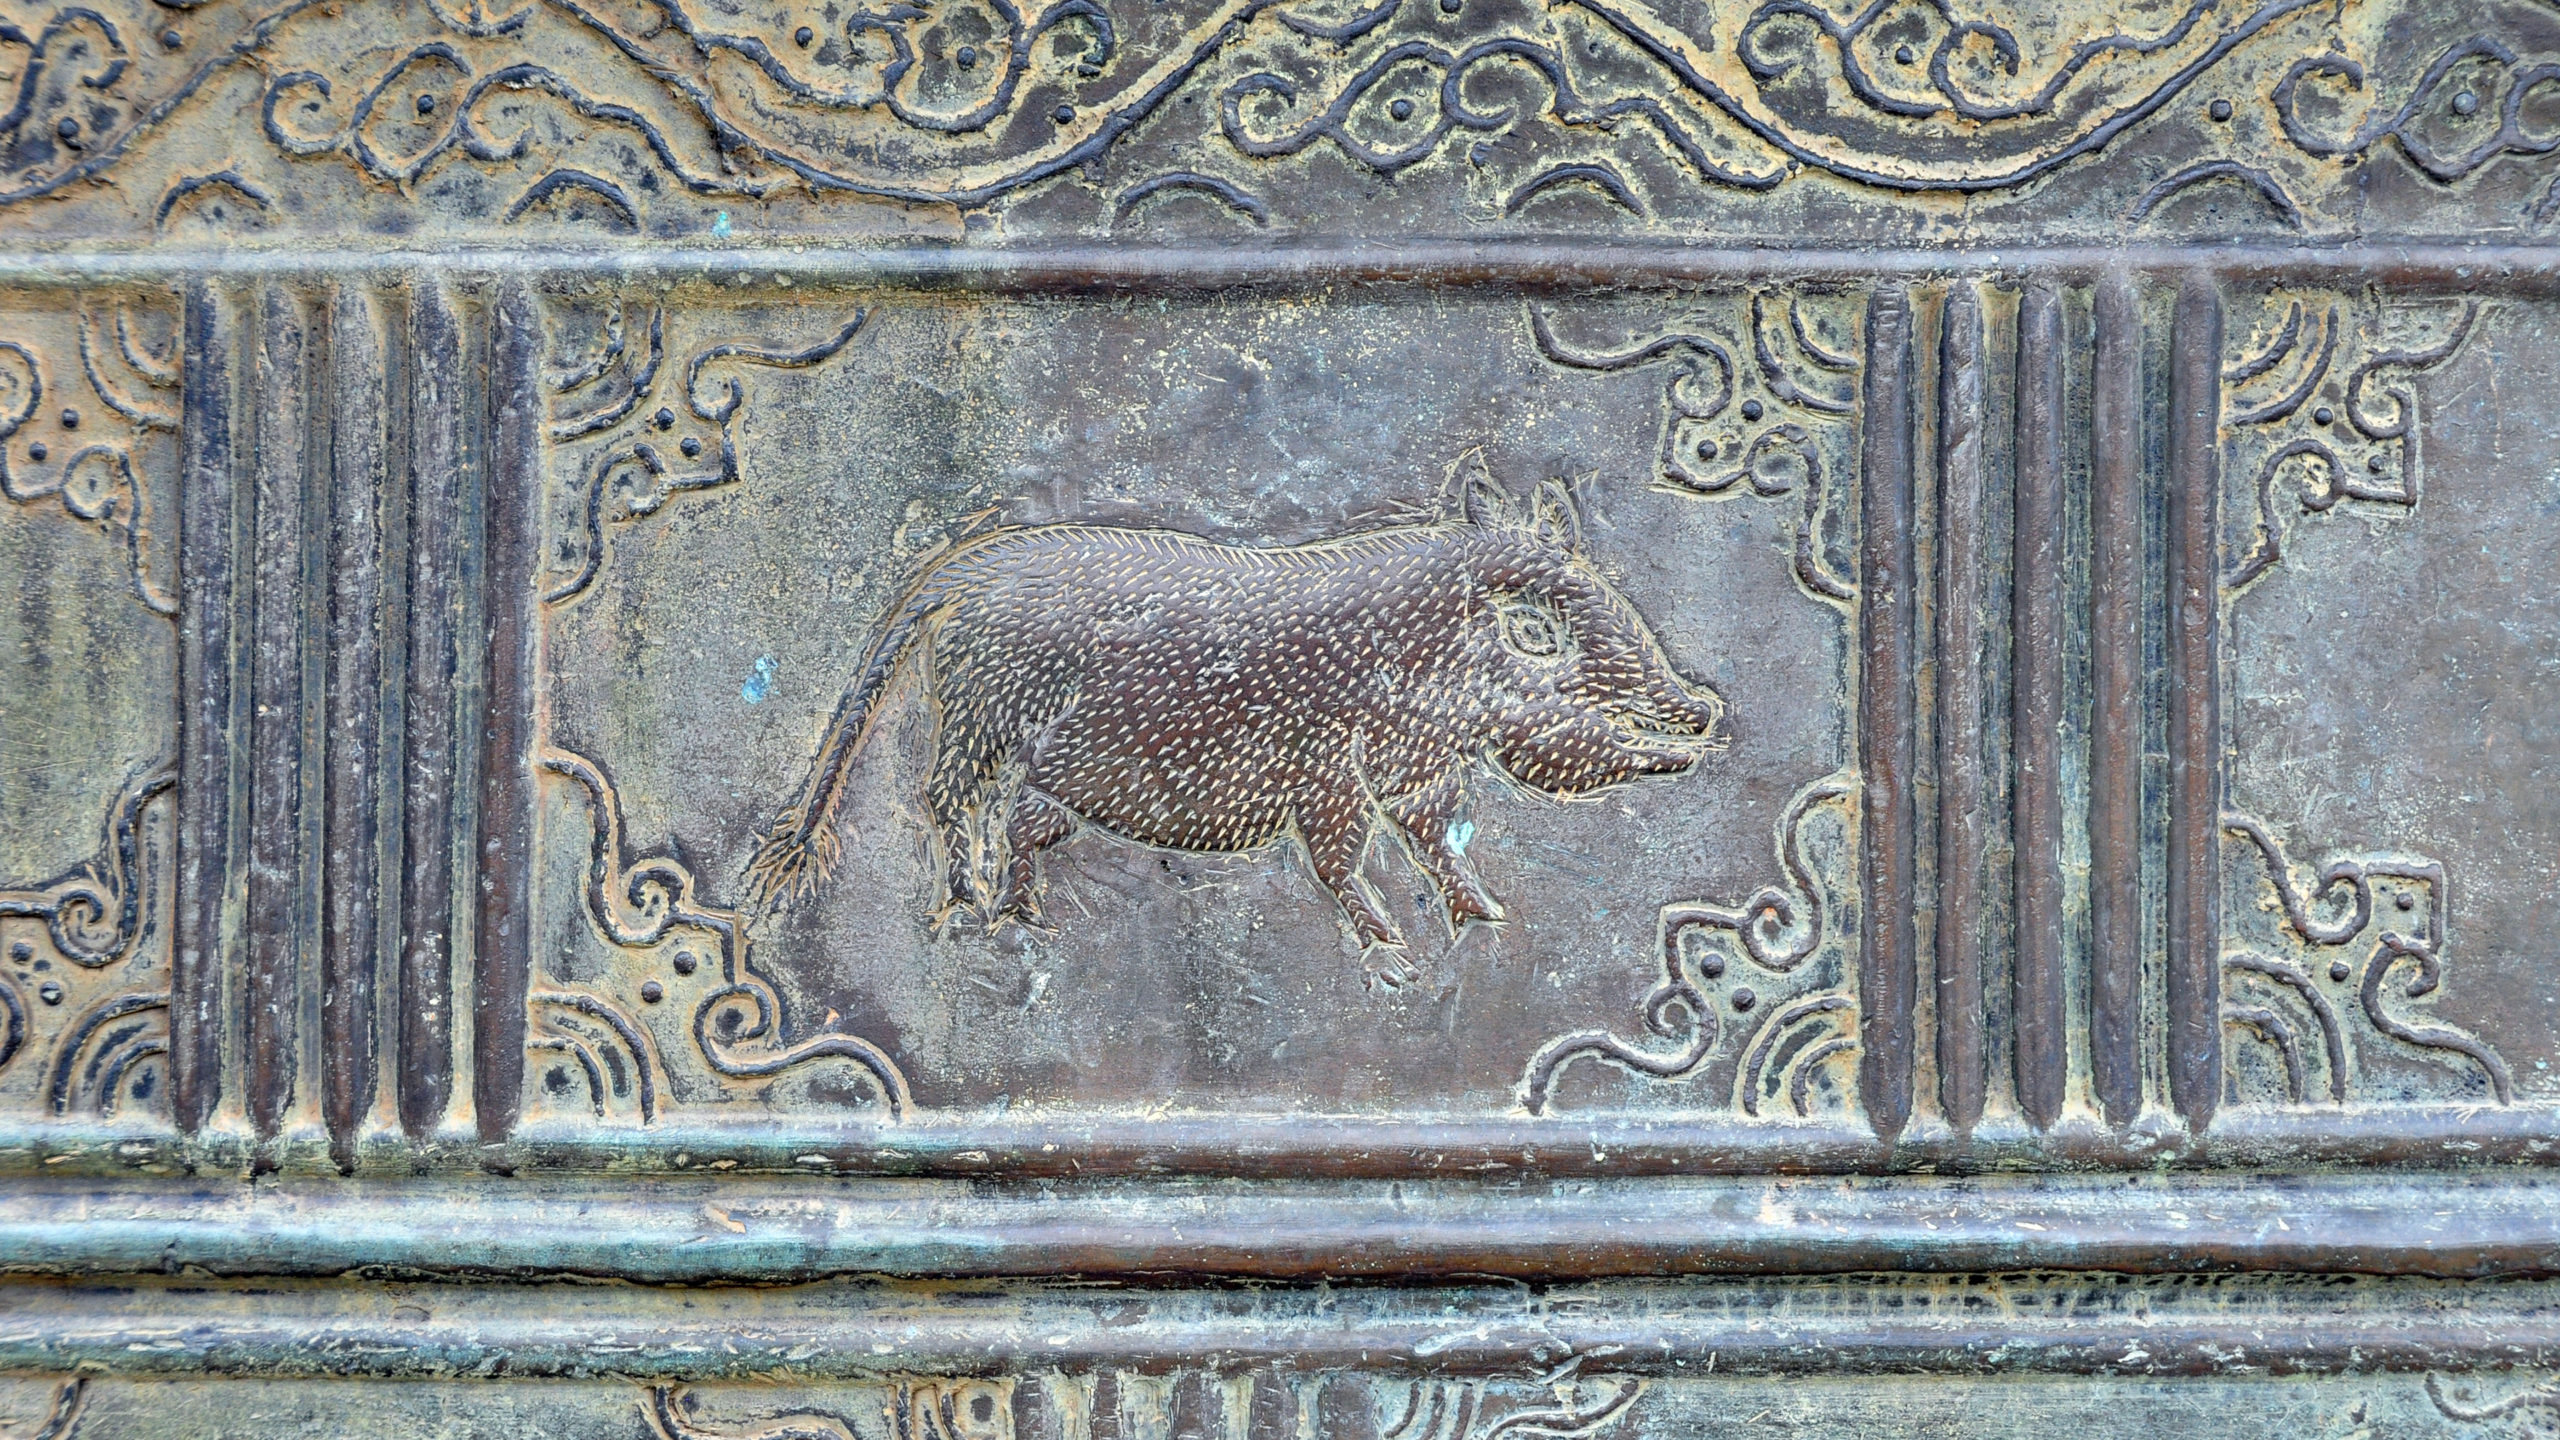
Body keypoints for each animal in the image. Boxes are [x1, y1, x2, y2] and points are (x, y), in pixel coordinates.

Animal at [743, 474, 1729, 983]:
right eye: (1534, 634)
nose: (1705, 709)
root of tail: (960, 572)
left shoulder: (1418, 770)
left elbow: (1438, 843)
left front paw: (1483, 923)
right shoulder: (1328, 774)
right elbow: (1340, 863)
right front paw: (1393, 964)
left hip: (1045, 762)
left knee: (1022, 825)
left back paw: (1028, 919)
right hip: (983, 719)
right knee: (948, 802)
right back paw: (963, 911)